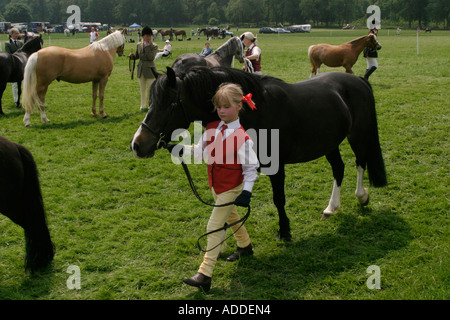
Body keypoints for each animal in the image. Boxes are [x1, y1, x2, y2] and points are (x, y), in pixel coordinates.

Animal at [130, 68, 386, 242]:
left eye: (169, 104)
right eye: (151, 102)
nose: (137, 144)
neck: (255, 112)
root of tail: (359, 80)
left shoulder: (277, 167)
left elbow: (278, 199)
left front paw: (285, 231)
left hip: (358, 134)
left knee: (360, 162)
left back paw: (362, 196)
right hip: (329, 143)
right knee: (338, 169)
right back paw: (331, 208)